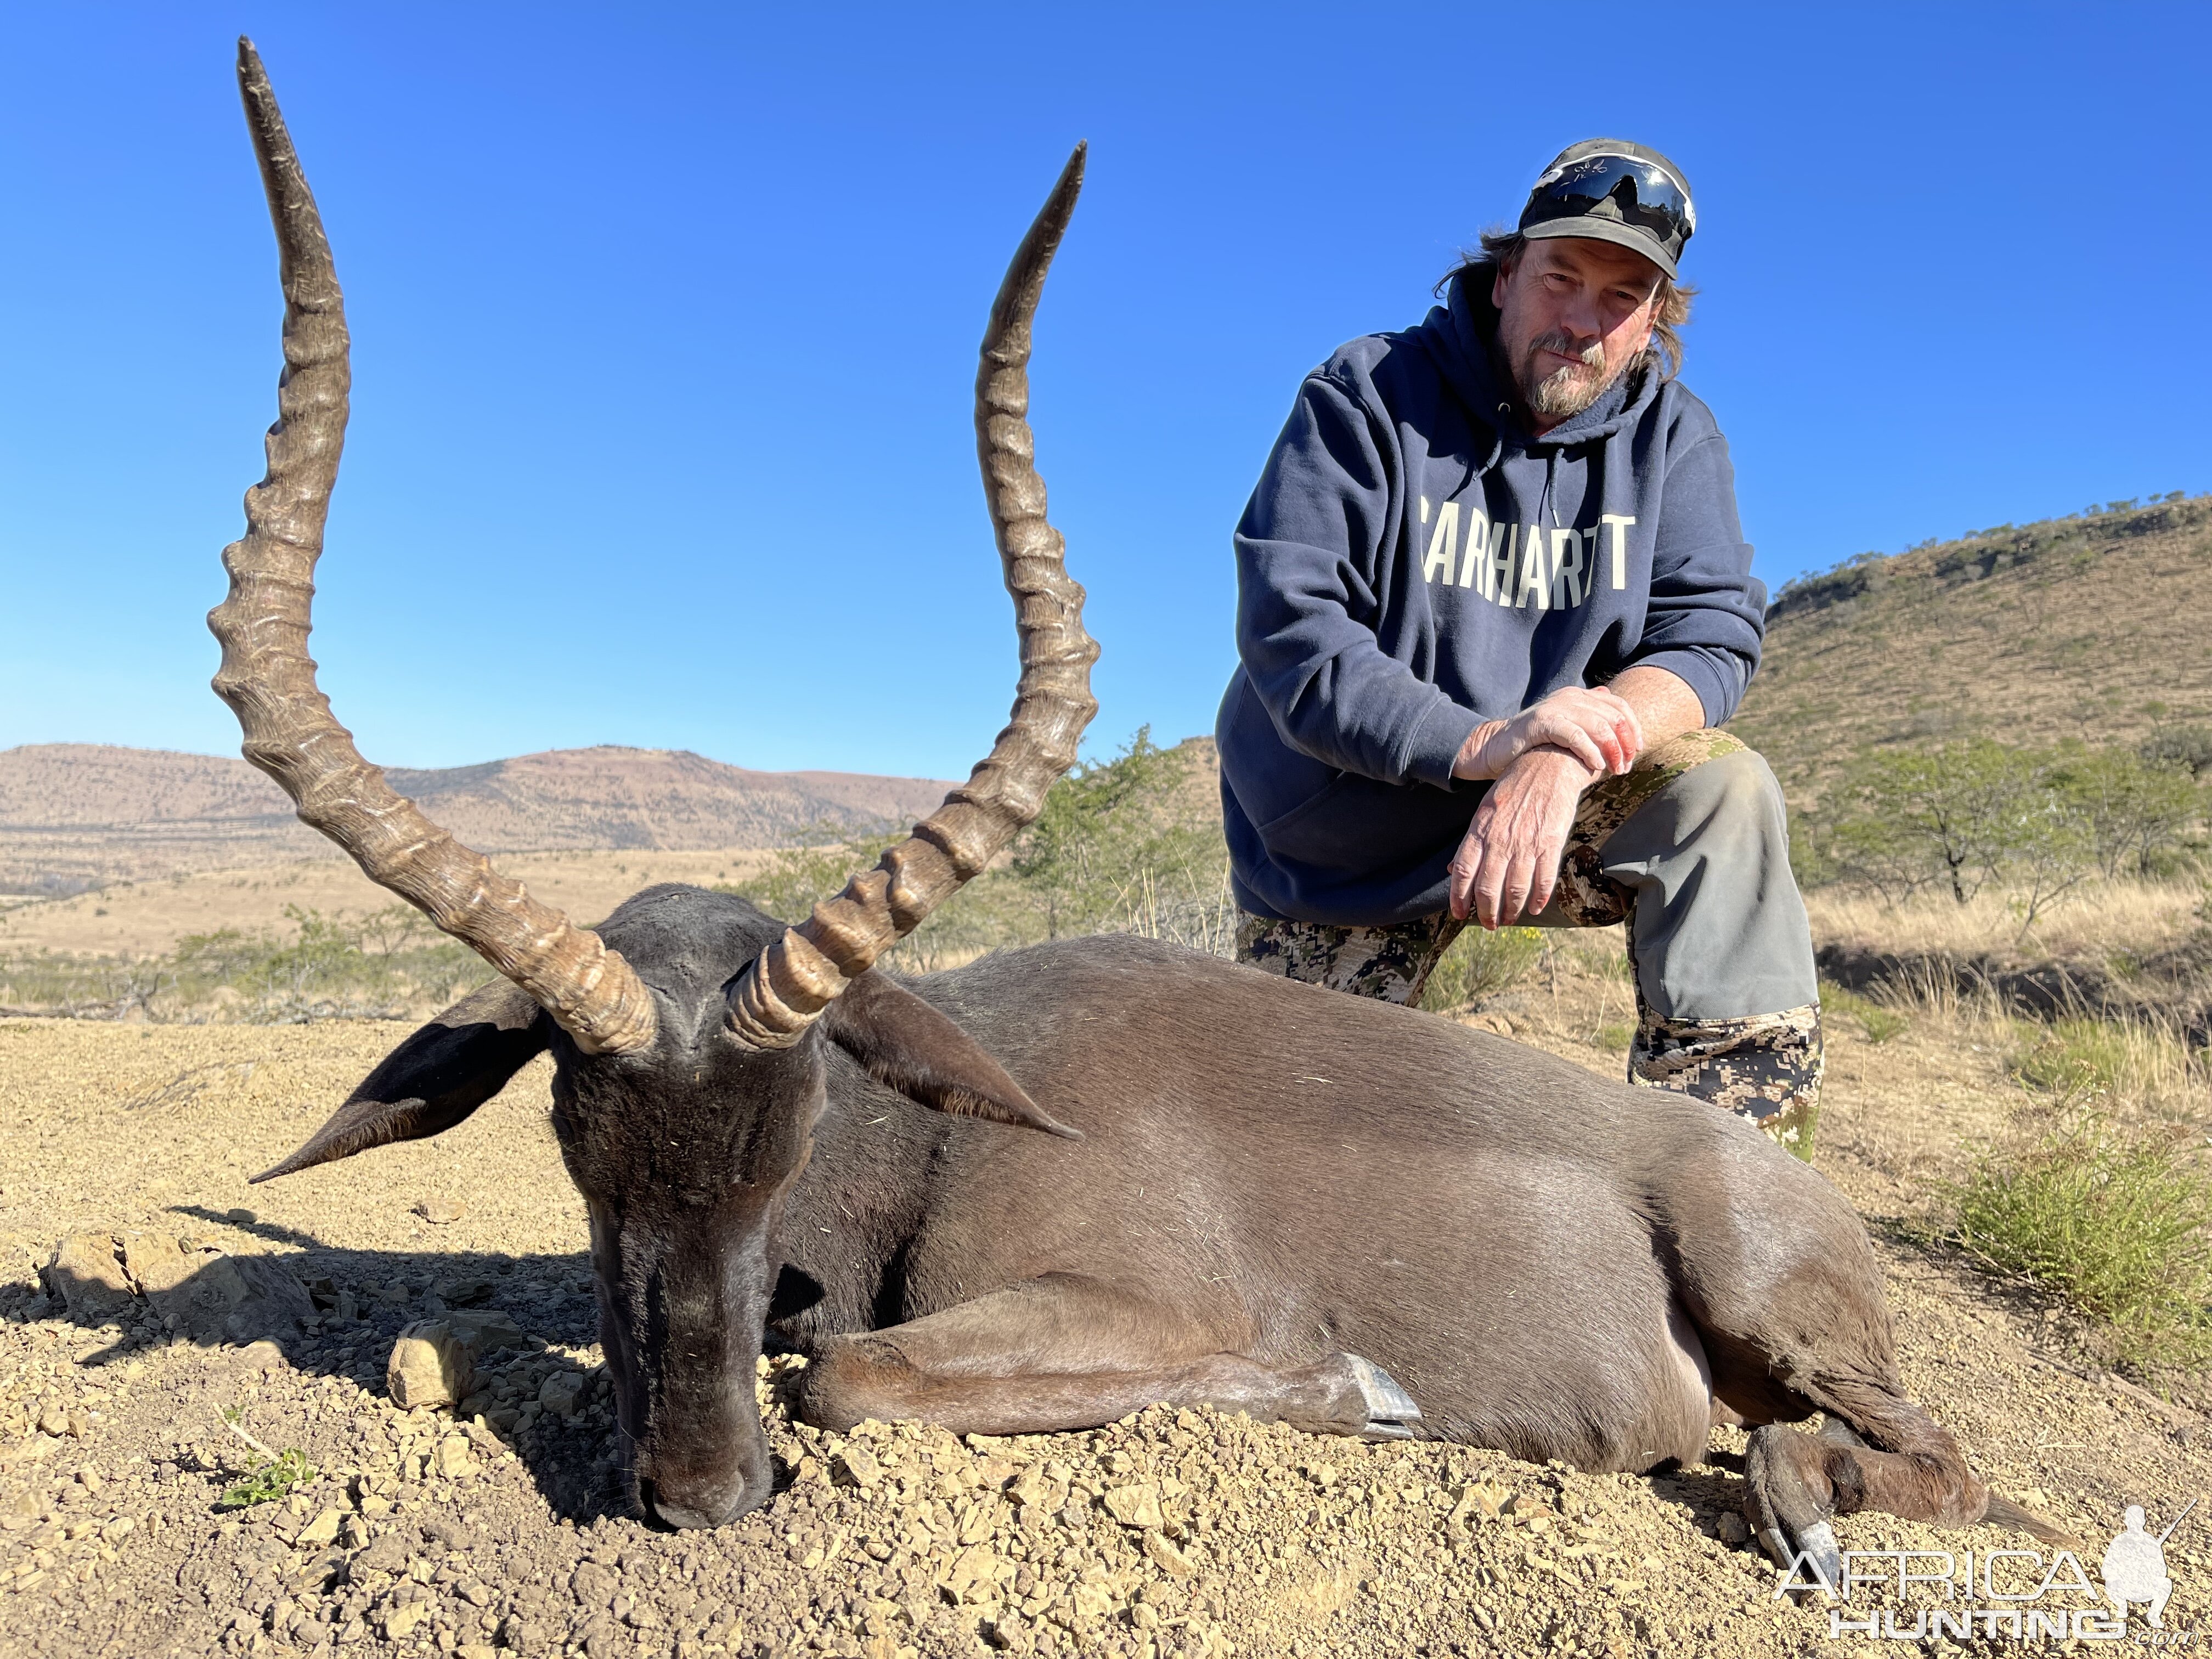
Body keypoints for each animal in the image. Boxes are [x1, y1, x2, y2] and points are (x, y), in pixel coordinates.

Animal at [216, 32, 2061, 1575]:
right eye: (571, 1141)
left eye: (797, 1128)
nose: (698, 1493)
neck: (934, 1135)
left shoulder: (1125, 1307)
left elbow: (848, 1375)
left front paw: (1349, 1393)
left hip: (1777, 1309)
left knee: (1933, 1460)